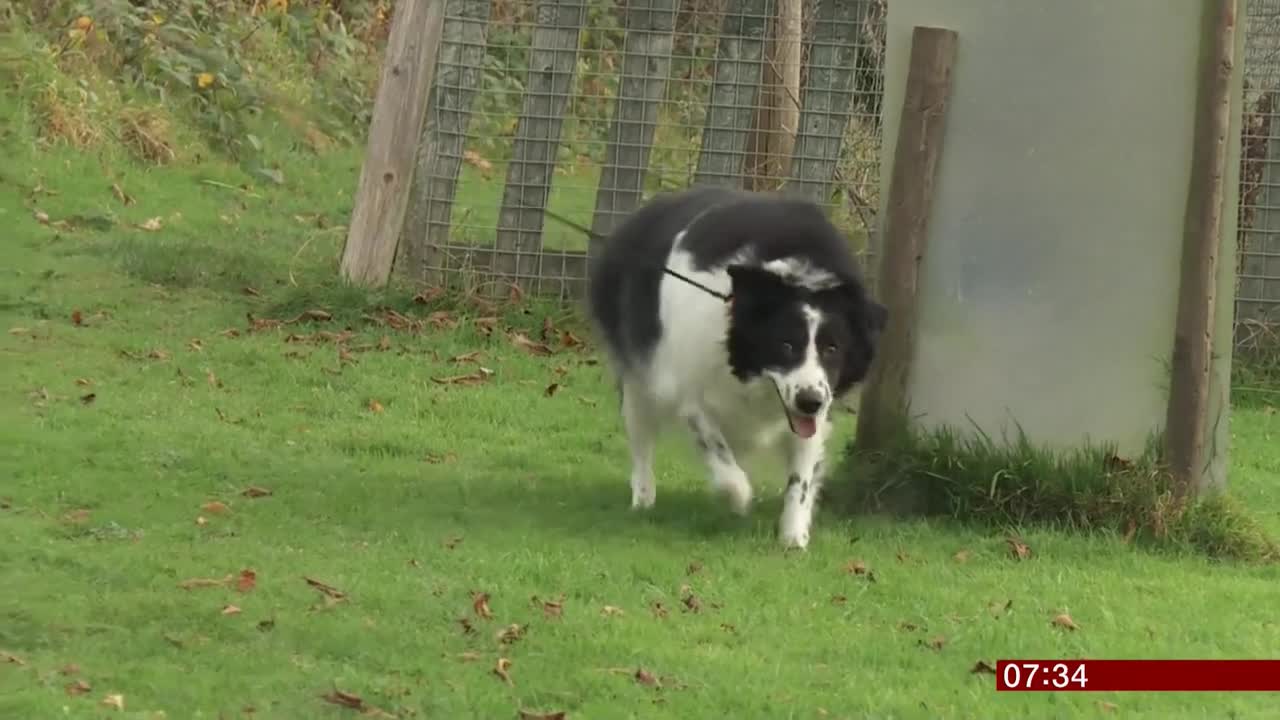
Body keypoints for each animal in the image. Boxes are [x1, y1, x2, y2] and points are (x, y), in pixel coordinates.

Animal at [586, 183, 885, 543]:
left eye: (832, 349)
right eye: (785, 345)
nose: (809, 402)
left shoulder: (818, 402)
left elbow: (801, 474)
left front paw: (793, 536)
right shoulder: (687, 382)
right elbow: (715, 445)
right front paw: (739, 496)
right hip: (639, 378)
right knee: (642, 438)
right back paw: (644, 497)